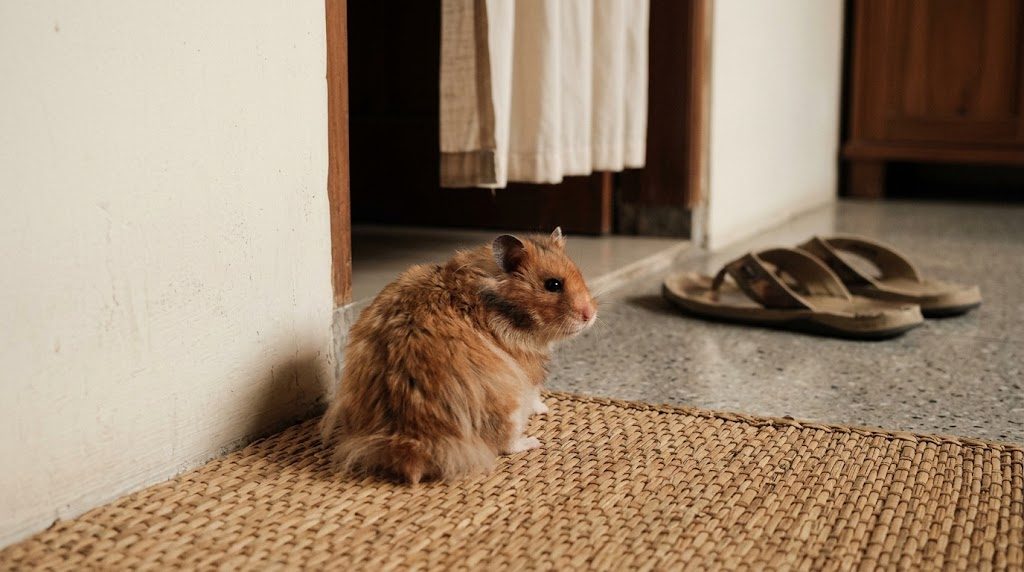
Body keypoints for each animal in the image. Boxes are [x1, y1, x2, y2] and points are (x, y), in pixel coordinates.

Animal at [320, 227, 597, 484]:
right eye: (553, 285)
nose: (591, 315)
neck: (502, 304)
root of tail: (411, 442)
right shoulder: (529, 369)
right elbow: (536, 394)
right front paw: (545, 409)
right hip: (509, 402)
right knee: (505, 444)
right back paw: (532, 441)